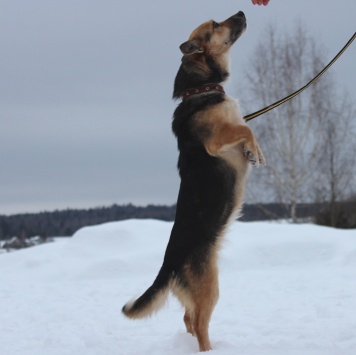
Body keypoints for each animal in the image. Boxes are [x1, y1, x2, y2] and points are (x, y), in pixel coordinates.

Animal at [122, 11, 264, 354]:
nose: (242, 12)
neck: (200, 89)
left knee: (188, 319)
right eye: (214, 25)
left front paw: (257, 151)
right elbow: (245, 130)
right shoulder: (217, 139)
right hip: (209, 286)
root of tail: (169, 265)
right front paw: (254, 152)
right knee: (199, 323)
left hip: (197, 292)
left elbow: (246, 128)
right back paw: (209, 349)